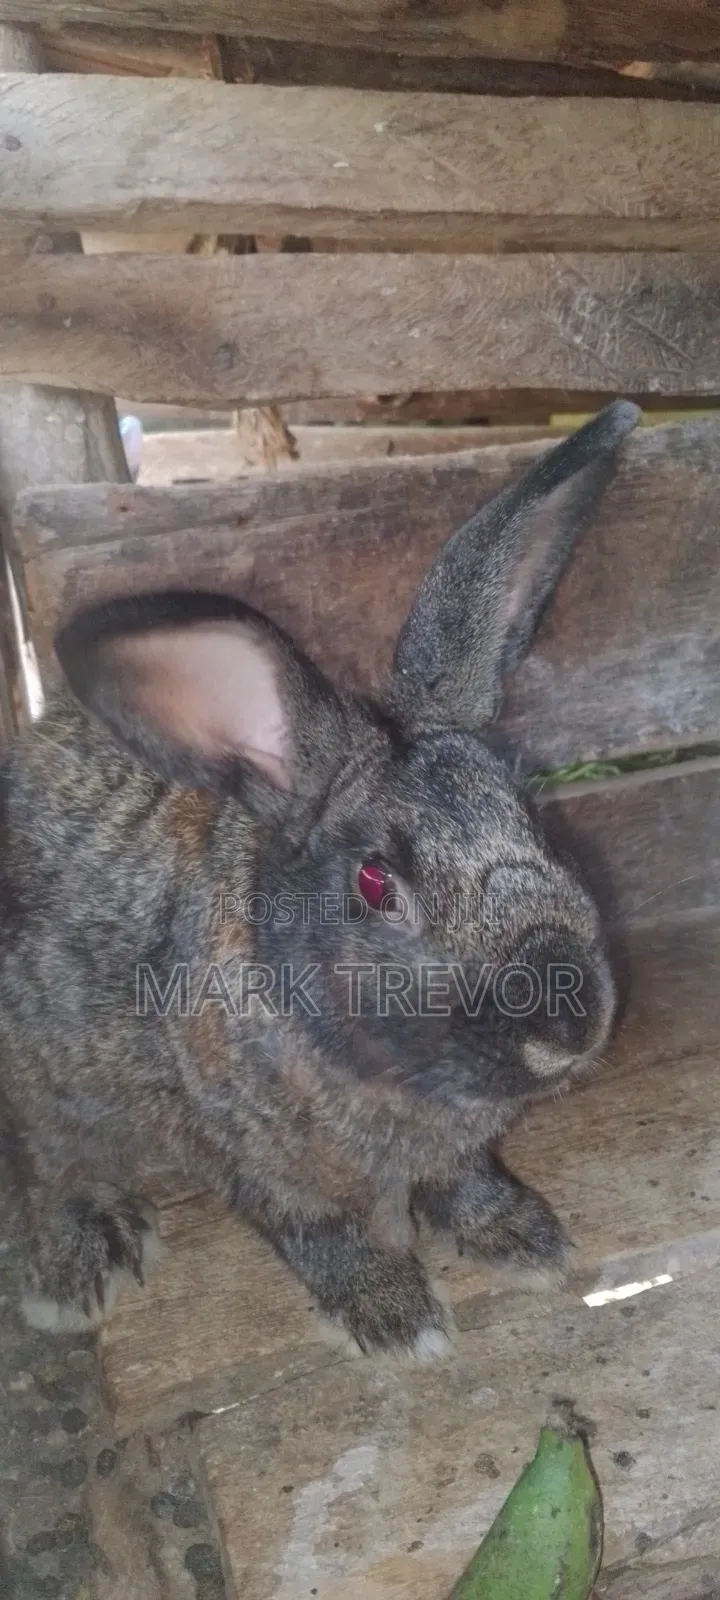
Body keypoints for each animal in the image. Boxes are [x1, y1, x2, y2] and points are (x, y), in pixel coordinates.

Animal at [0, 401, 640, 1358]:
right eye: (376, 884)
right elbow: (324, 1234)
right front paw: (398, 1321)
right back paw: (82, 1264)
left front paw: (523, 1239)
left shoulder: (452, 1153)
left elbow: (463, 1182)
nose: (570, 1022)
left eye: (531, 813)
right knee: (48, 1170)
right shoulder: (269, 1168)